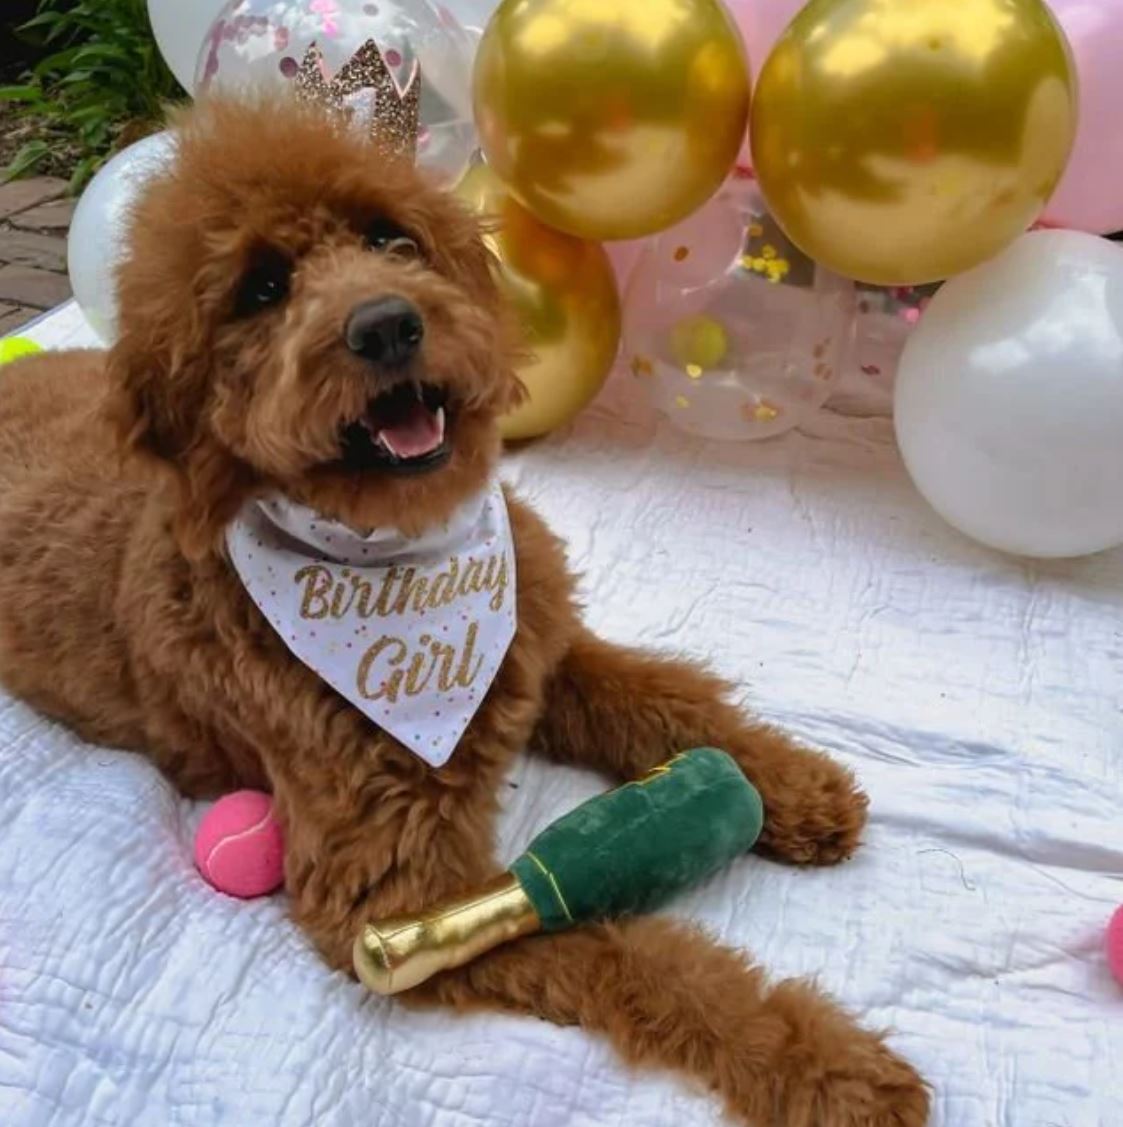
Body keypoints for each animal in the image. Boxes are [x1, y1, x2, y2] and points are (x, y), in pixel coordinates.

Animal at [0, 99, 929, 1127]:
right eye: (262, 288)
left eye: (388, 236)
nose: (386, 325)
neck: (399, 556)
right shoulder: (400, 899)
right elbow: (642, 960)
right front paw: (824, 1065)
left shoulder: (539, 646)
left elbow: (665, 698)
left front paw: (791, 785)